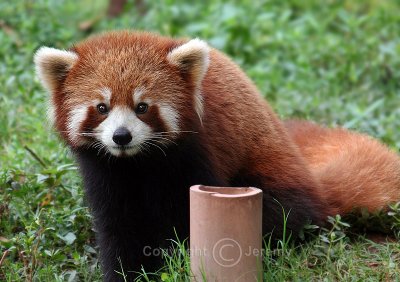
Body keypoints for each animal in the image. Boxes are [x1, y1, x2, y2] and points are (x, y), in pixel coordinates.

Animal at [35, 30, 400, 280]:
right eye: (101, 107)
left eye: (142, 107)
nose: (121, 136)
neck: (139, 162)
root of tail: (316, 187)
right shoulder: (105, 170)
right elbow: (118, 226)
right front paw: (128, 272)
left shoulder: (193, 156)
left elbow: (186, 219)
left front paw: (178, 262)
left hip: (273, 176)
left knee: (282, 216)